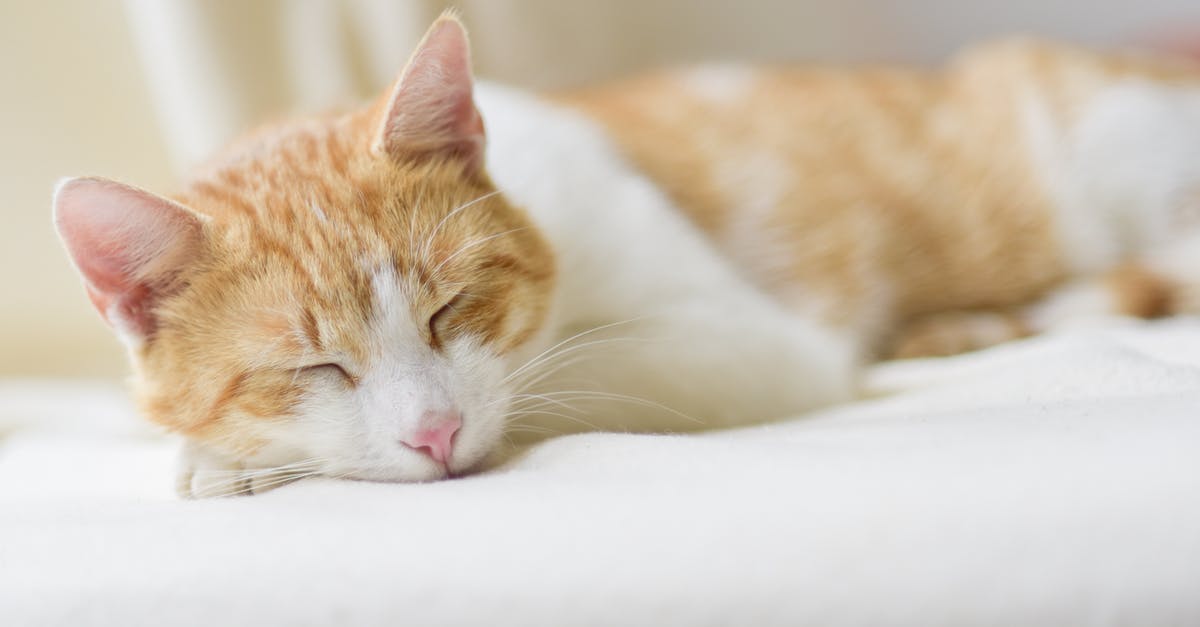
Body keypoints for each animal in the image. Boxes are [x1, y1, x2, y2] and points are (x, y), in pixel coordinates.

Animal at [54, 12, 1200, 494]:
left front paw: (223, 462)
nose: (435, 435)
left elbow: (576, 378)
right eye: (316, 366)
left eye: (449, 311)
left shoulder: (753, 343)